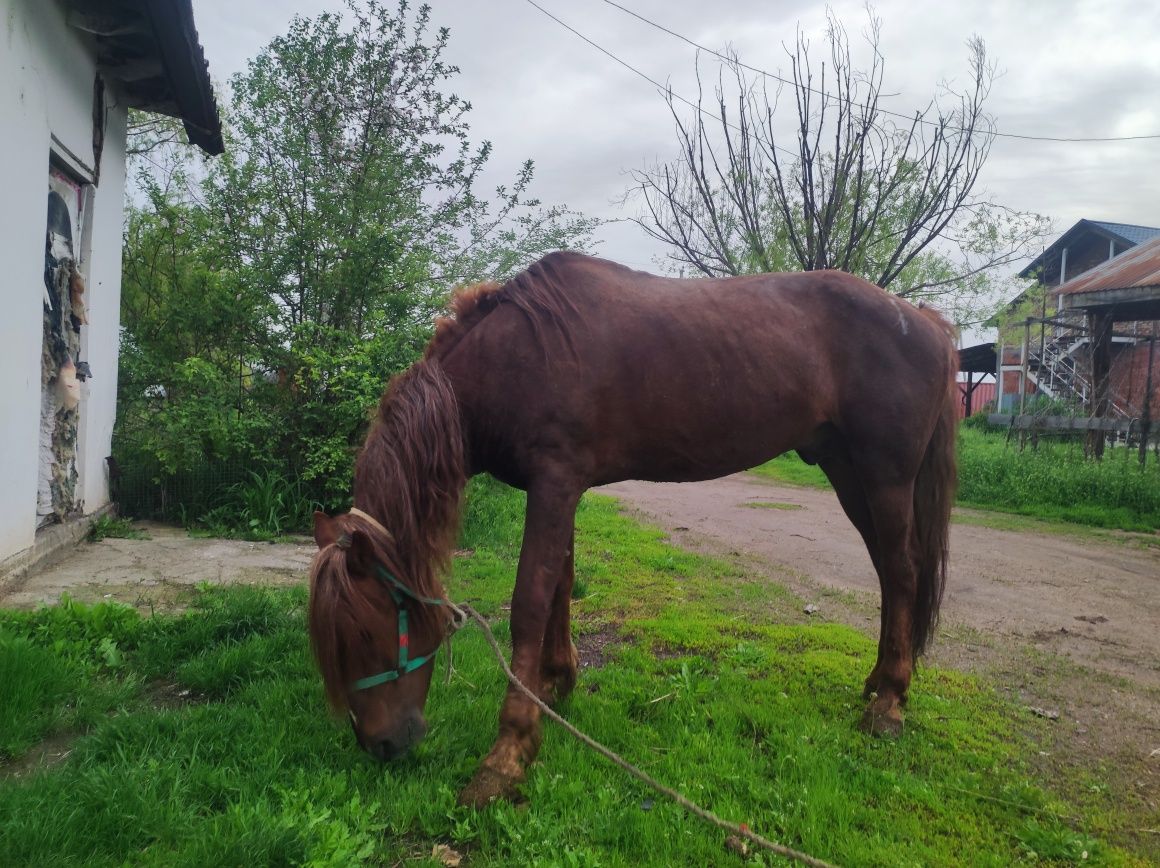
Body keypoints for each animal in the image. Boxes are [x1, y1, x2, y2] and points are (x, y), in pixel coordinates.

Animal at [308, 250, 960, 807]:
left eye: (365, 633)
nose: (381, 745)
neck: (519, 354)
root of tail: (923, 321)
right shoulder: (561, 488)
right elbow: (561, 585)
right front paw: (555, 685)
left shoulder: (554, 481)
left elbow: (530, 600)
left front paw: (507, 755)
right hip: (847, 471)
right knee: (888, 574)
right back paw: (878, 683)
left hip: (884, 477)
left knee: (901, 571)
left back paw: (889, 703)